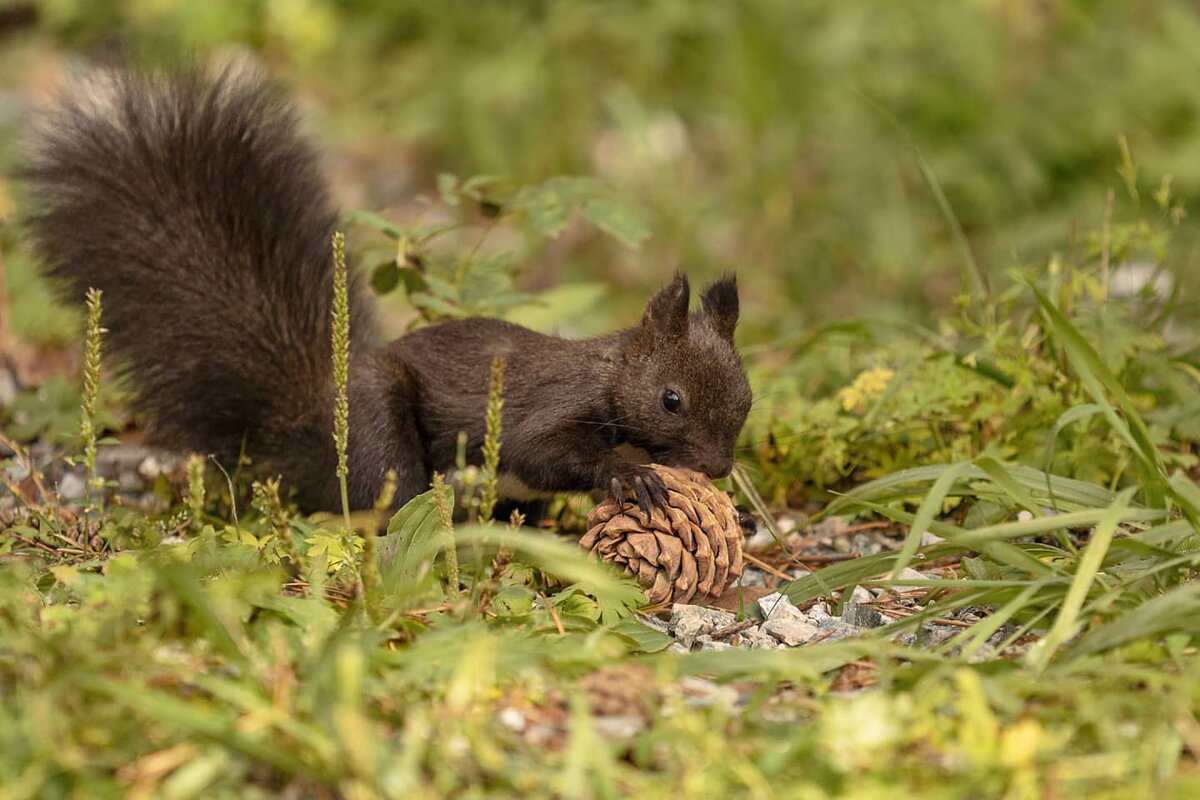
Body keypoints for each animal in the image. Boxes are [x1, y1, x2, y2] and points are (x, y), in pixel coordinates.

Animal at [21, 62, 748, 513]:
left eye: (745, 400)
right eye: (671, 399)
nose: (716, 468)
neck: (610, 374)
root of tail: (310, 425)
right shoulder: (551, 406)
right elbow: (540, 450)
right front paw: (626, 474)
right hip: (376, 425)